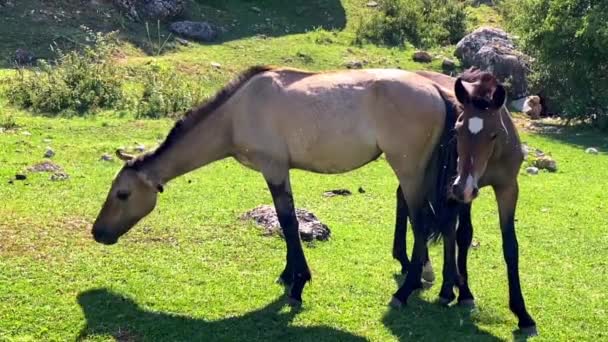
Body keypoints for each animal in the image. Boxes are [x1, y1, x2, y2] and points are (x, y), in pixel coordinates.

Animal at [92, 65, 456, 306]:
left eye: (122, 194)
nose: (98, 233)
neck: (236, 113)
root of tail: (436, 90)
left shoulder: (275, 169)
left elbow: (288, 222)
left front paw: (298, 284)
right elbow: (287, 222)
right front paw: (288, 275)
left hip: (409, 171)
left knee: (421, 222)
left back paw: (406, 290)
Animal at [390, 69, 536, 336]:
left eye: (494, 133)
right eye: (458, 130)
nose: (463, 187)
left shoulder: (507, 188)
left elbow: (510, 246)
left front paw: (523, 315)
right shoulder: (459, 189)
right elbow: (462, 234)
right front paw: (463, 292)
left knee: (408, 203)